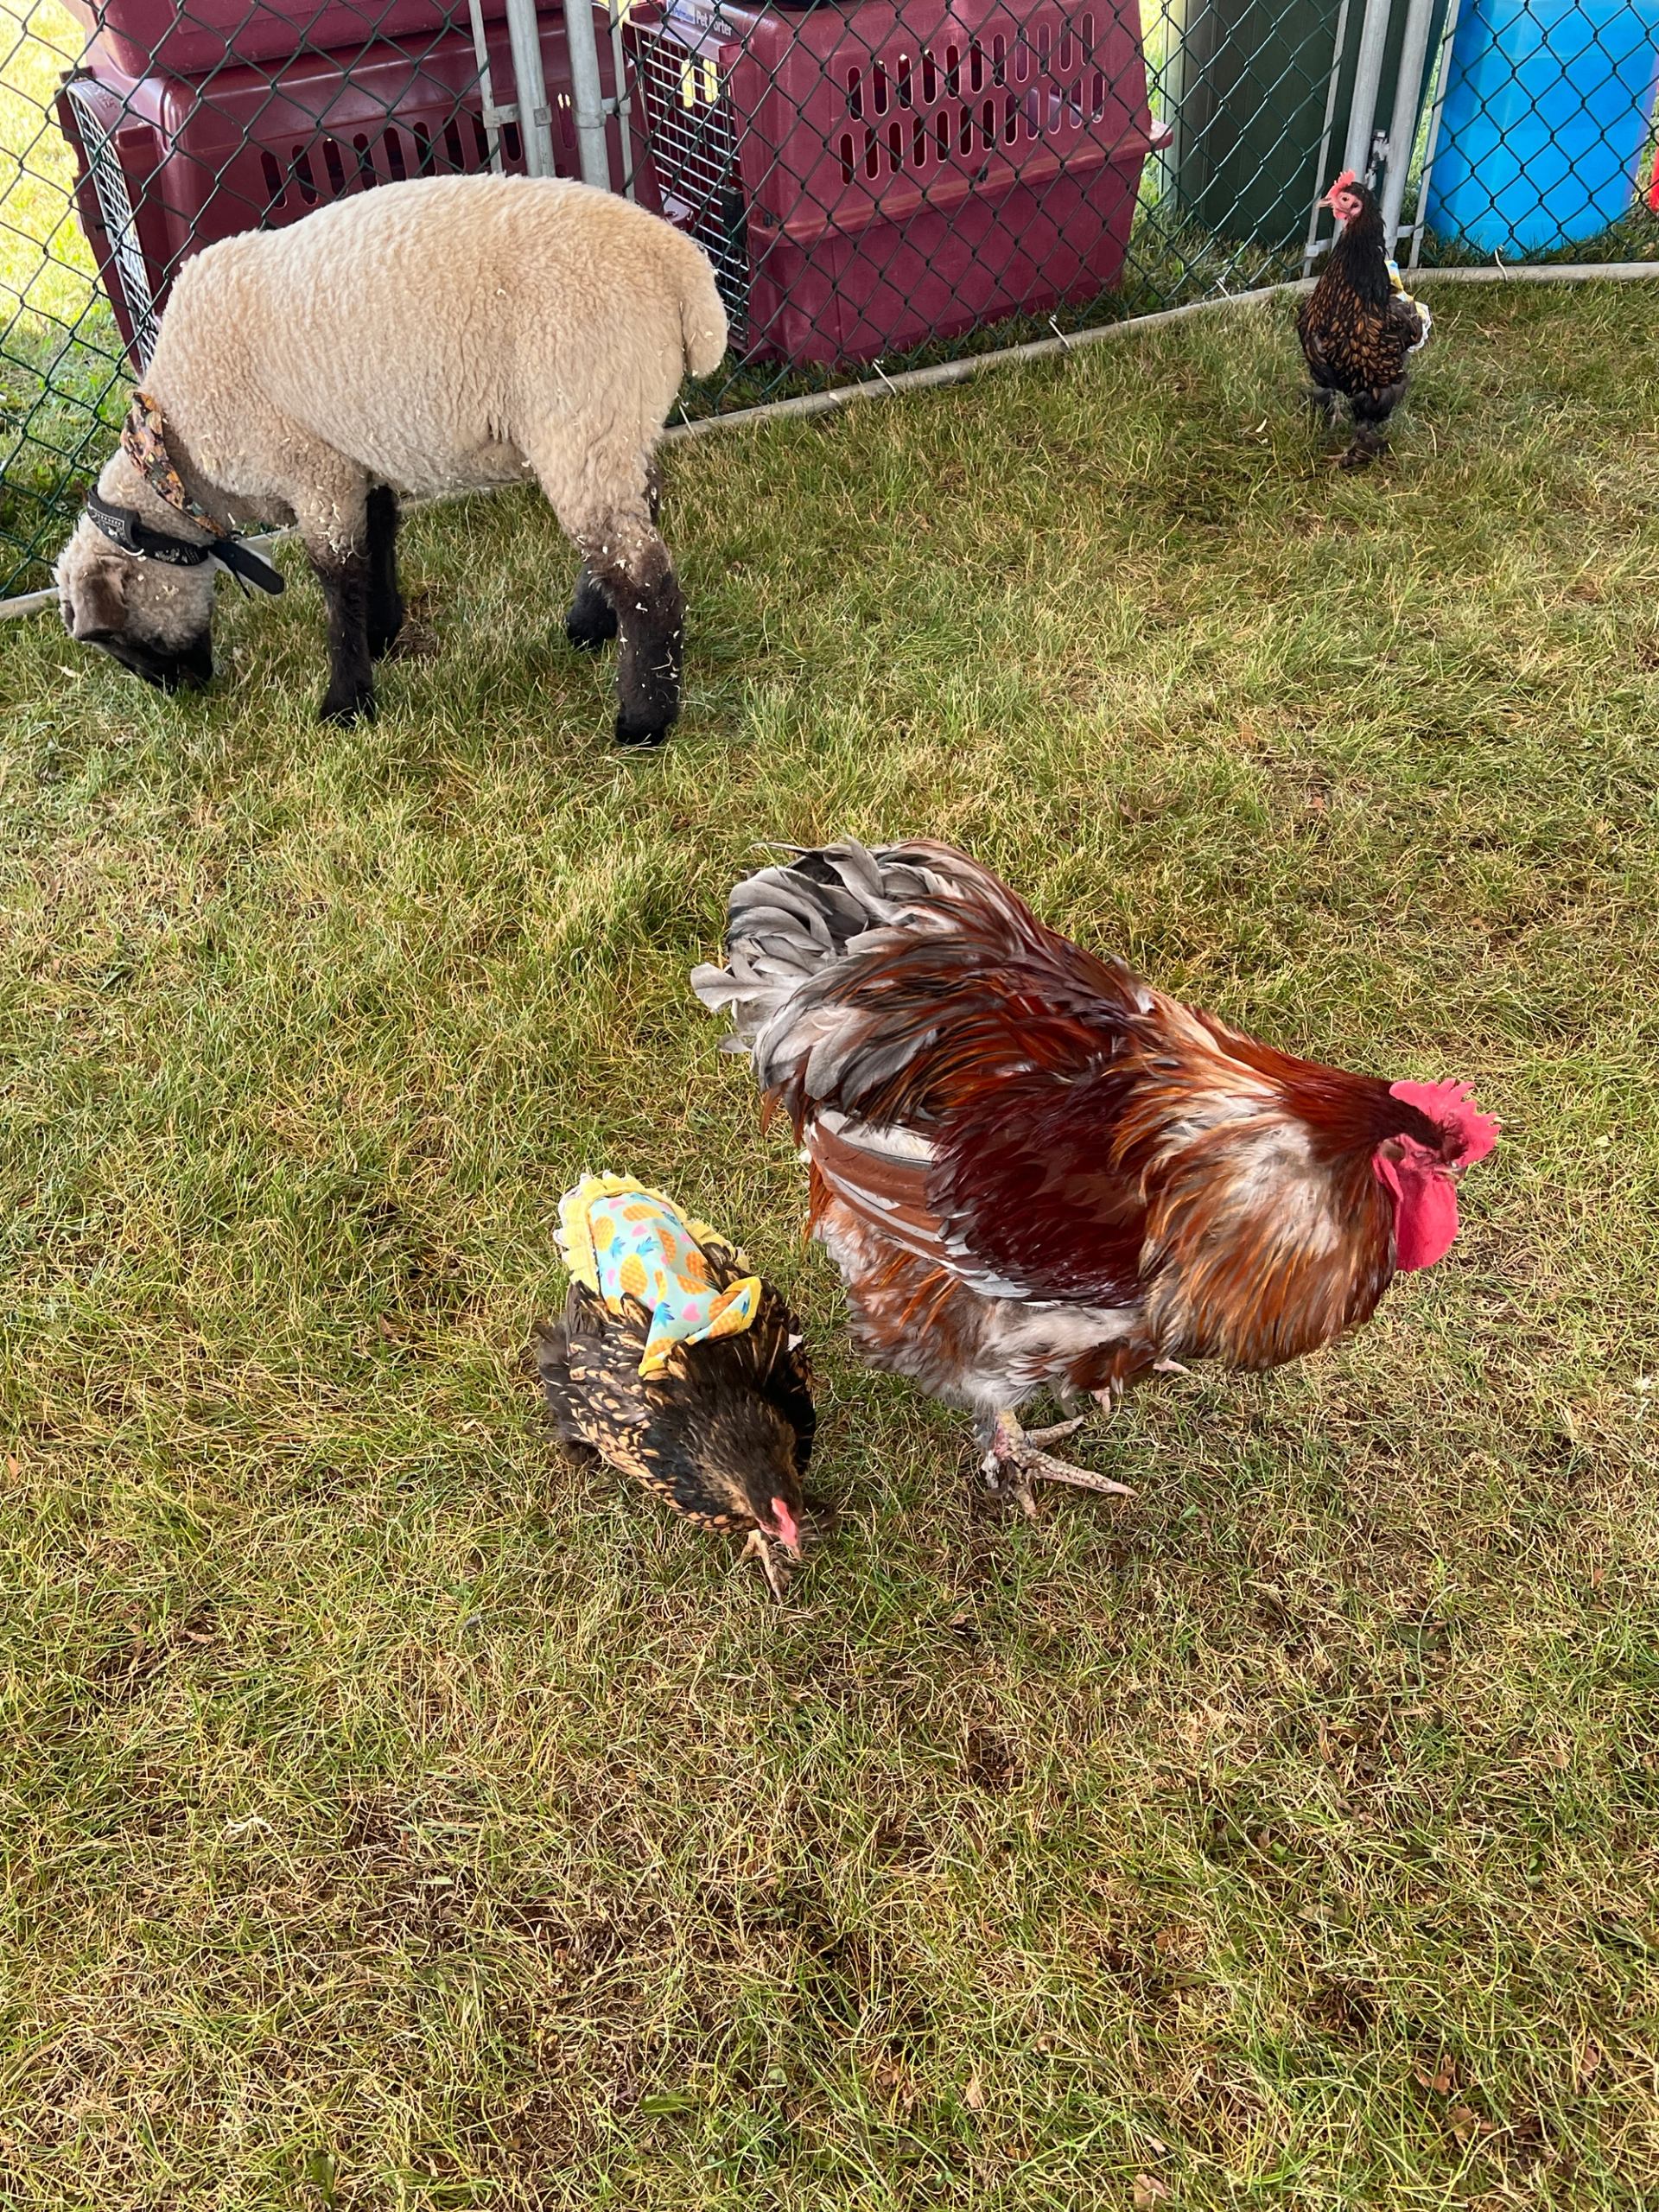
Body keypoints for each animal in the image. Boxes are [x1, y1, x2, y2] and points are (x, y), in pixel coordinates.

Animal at [55, 173, 728, 746]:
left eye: (116, 642)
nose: (184, 691)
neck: (176, 454)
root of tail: (679, 265)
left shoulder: (313, 470)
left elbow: (337, 582)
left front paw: (346, 703)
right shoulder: (353, 456)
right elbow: (377, 538)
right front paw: (381, 633)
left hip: (581, 411)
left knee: (645, 577)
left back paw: (643, 720)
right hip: (617, 419)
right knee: (637, 519)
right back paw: (592, 624)